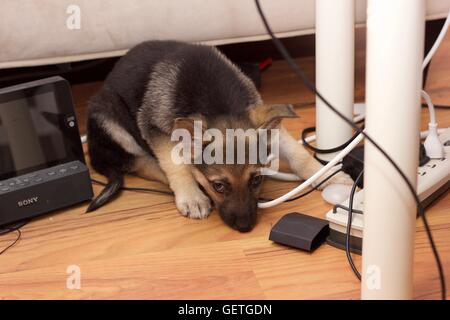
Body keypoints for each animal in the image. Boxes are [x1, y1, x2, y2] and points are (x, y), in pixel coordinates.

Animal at [84, 40, 352, 232]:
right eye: (219, 186)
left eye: (256, 180)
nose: (245, 228)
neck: (218, 105)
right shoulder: (155, 129)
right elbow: (175, 165)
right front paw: (191, 195)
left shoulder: (268, 124)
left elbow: (298, 154)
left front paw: (327, 175)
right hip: (107, 115)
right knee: (139, 162)